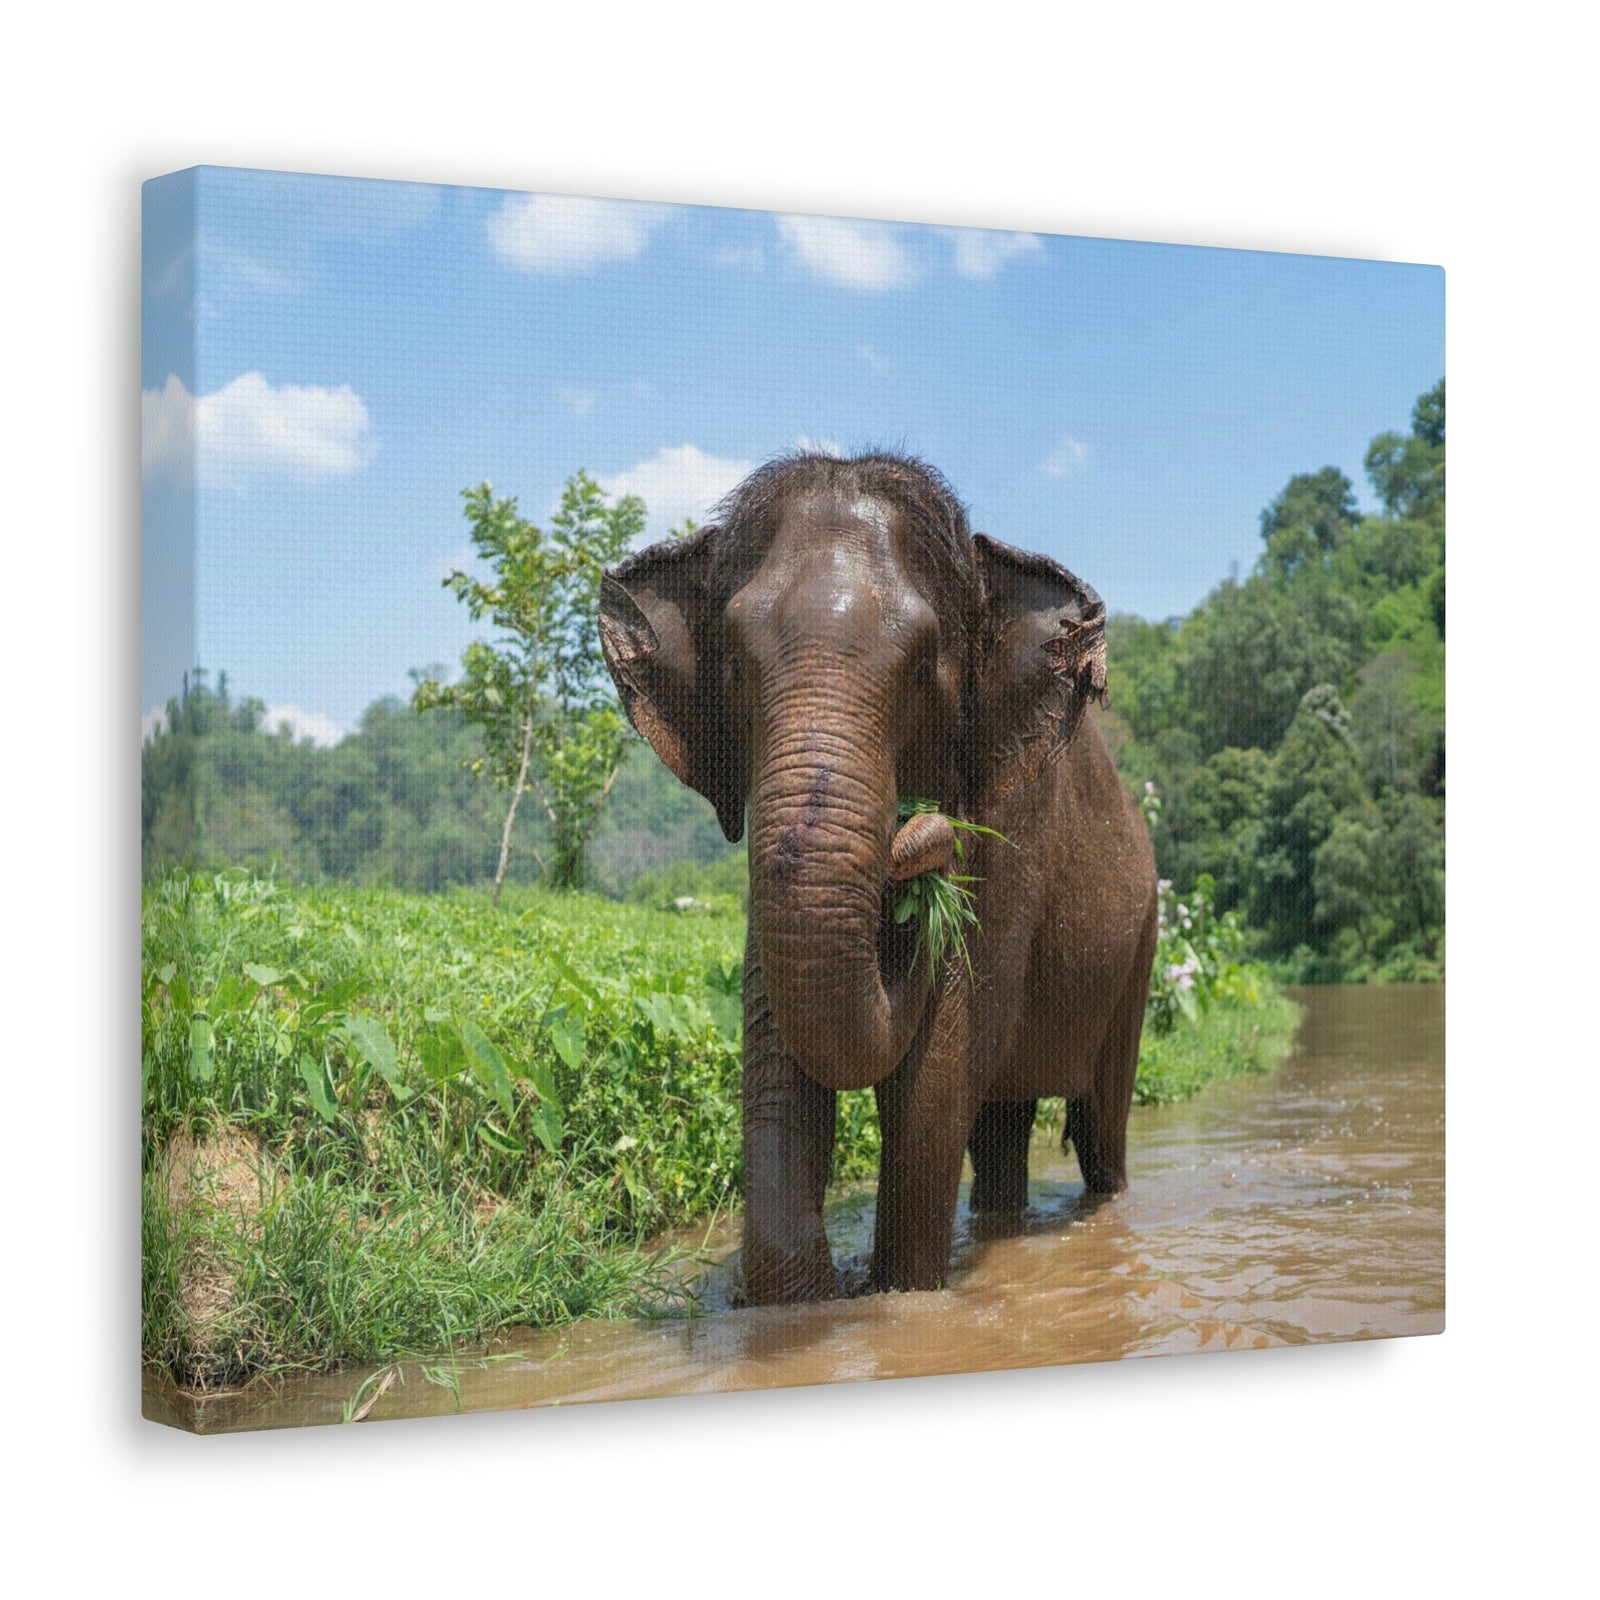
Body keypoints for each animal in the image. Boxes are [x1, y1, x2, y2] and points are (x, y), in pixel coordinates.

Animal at [599, 451, 1158, 1303]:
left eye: (924, 667)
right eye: (734, 665)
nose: (918, 831)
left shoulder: (1011, 830)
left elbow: (932, 1082)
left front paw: (899, 1298)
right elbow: (782, 1065)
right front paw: (802, 1300)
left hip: (1141, 945)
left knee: (1101, 1123)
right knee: (1001, 1124)